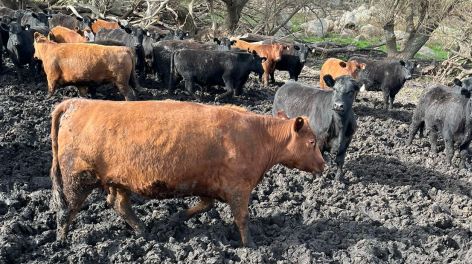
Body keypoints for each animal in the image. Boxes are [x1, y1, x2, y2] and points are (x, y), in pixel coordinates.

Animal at [51, 98, 324, 246]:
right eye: (312, 142)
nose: (324, 165)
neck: (257, 135)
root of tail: (76, 102)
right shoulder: (239, 188)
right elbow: (242, 218)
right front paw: (250, 244)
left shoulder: (208, 184)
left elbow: (204, 205)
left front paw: (177, 217)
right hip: (77, 178)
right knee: (67, 210)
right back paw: (61, 239)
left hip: (117, 180)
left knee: (119, 203)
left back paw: (142, 230)